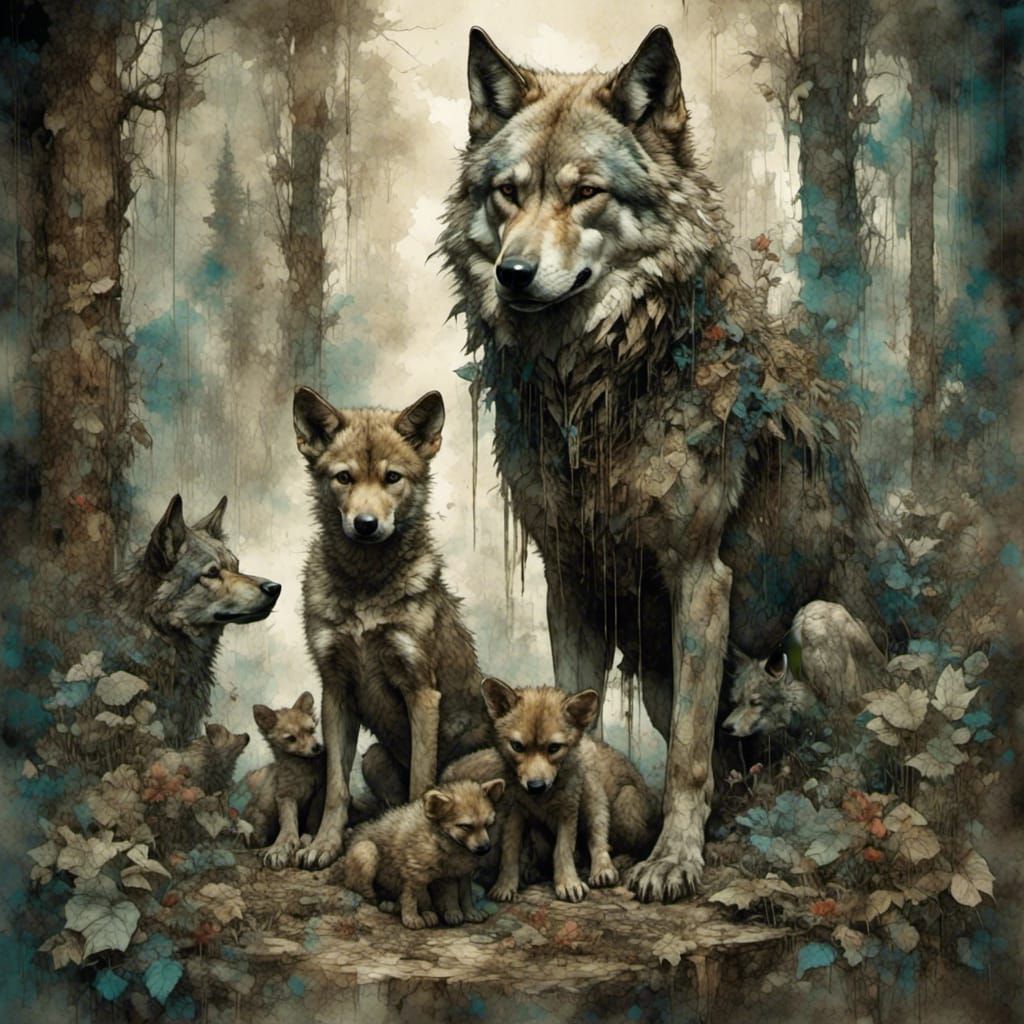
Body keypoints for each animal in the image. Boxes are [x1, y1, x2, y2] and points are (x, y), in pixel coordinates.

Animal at [292, 387, 491, 869]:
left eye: (392, 478)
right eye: (344, 478)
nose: (366, 525)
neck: (366, 584)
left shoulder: (421, 692)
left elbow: (422, 785)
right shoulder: (335, 691)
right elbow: (336, 789)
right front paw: (325, 844)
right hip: (375, 758)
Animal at [343, 778, 505, 929]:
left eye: (487, 824)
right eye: (465, 826)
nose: (485, 848)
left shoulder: (459, 873)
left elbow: (464, 895)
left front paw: (470, 913)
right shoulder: (416, 873)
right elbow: (413, 896)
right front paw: (412, 917)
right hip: (366, 850)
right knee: (365, 892)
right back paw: (389, 904)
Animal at [445, 679, 660, 903]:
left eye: (554, 748)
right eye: (517, 746)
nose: (535, 786)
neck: (541, 800)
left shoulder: (571, 809)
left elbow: (567, 847)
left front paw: (569, 882)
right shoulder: (515, 813)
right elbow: (510, 850)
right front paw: (505, 885)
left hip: (624, 802)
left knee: (631, 843)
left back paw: (610, 865)